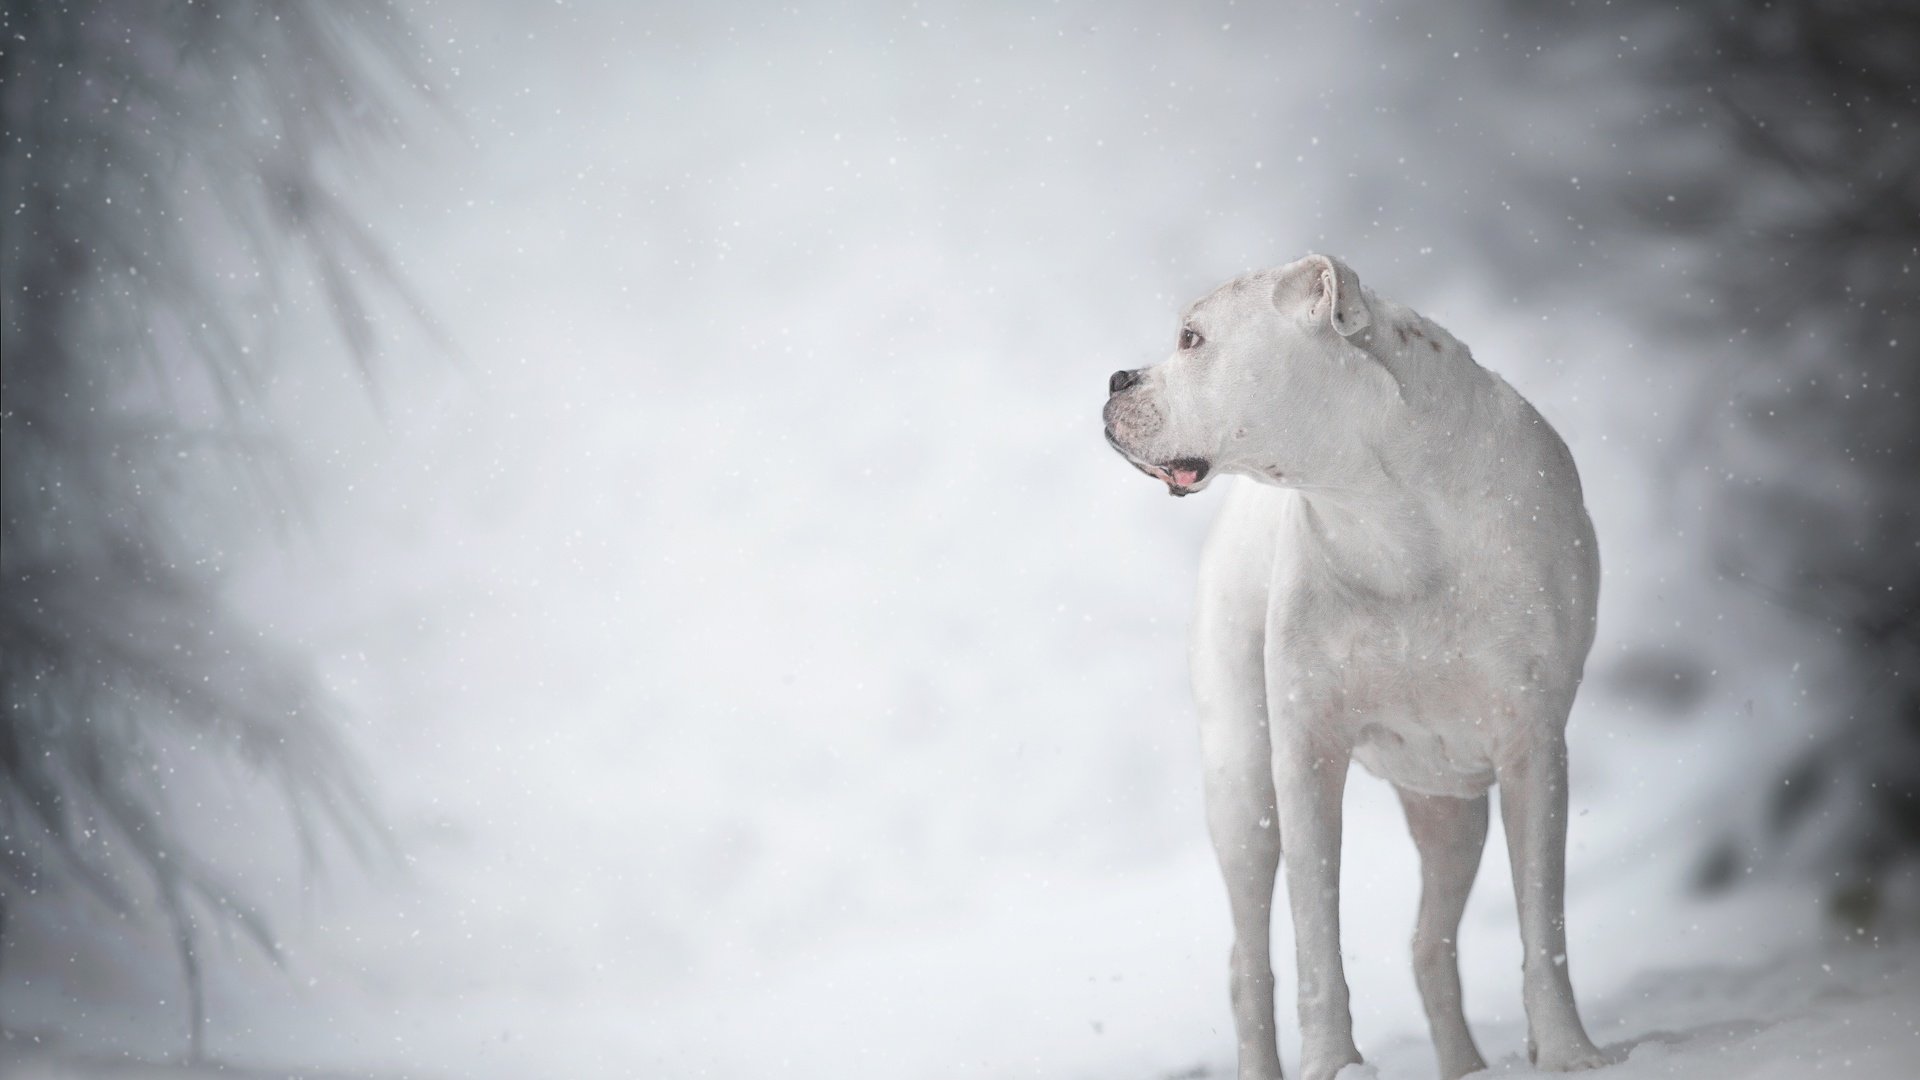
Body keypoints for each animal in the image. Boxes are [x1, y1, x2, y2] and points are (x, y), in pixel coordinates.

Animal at [1105, 255, 1612, 1076]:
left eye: (1192, 338)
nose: (1118, 378)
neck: (1385, 510)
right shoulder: (1306, 757)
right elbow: (1316, 939)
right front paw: (1332, 1063)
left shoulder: (1533, 749)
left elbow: (1545, 923)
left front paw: (1568, 1051)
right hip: (1242, 790)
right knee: (1250, 963)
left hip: (1452, 810)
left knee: (1430, 944)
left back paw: (1467, 1064)